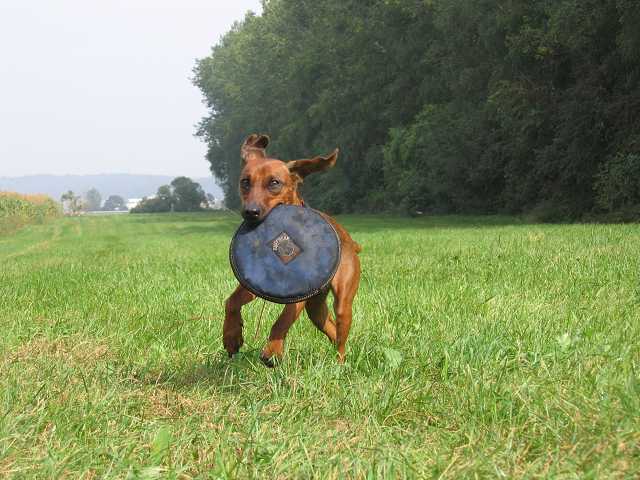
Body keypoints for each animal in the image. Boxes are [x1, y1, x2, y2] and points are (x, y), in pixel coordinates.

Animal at [224, 133, 360, 366]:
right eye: (245, 182)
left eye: (274, 183)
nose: (250, 212)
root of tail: (351, 241)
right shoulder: (251, 284)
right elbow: (230, 302)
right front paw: (231, 336)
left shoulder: (299, 296)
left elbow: (283, 319)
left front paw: (273, 350)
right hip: (316, 310)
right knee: (332, 330)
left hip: (342, 301)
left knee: (341, 336)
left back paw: (340, 364)